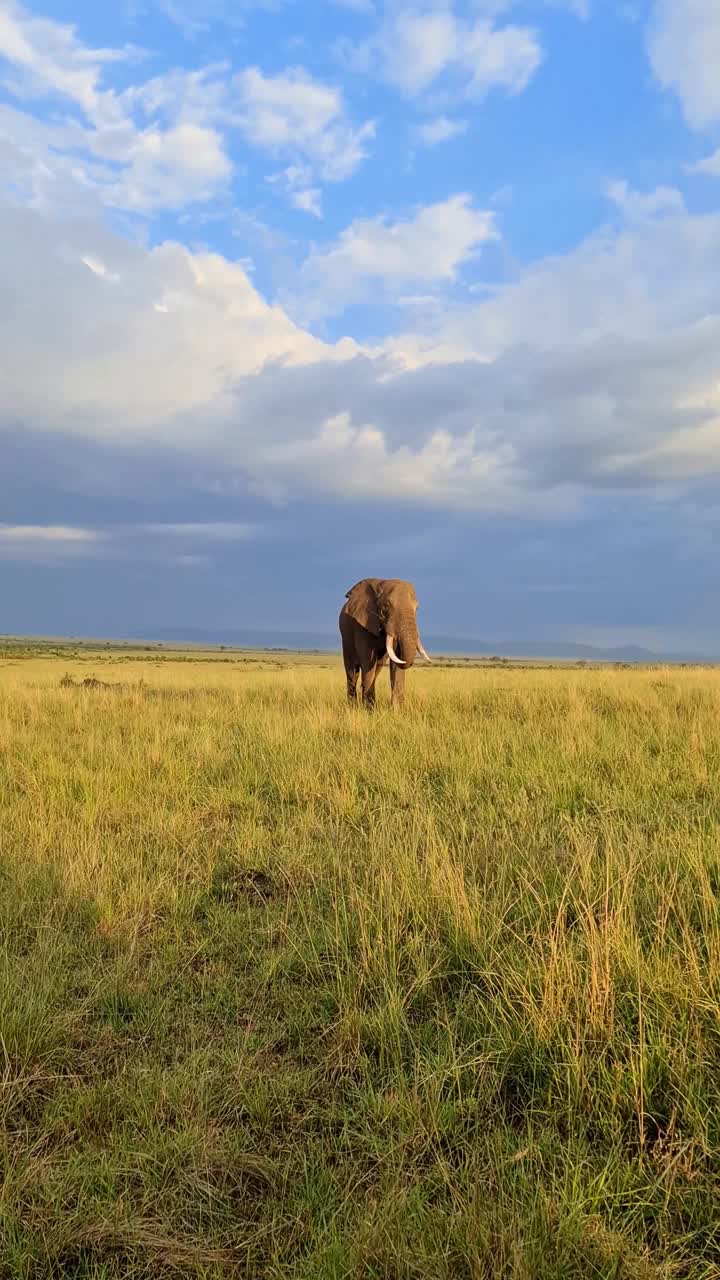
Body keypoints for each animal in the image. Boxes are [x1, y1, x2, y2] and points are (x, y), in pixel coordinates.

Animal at [338, 581, 427, 711]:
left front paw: (397, 711)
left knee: (376, 670)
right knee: (352, 672)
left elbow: (396, 663)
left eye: (417, 608)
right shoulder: (362, 624)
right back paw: (352, 707)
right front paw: (369, 711)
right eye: (386, 606)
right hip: (346, 638)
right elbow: (367, 662)